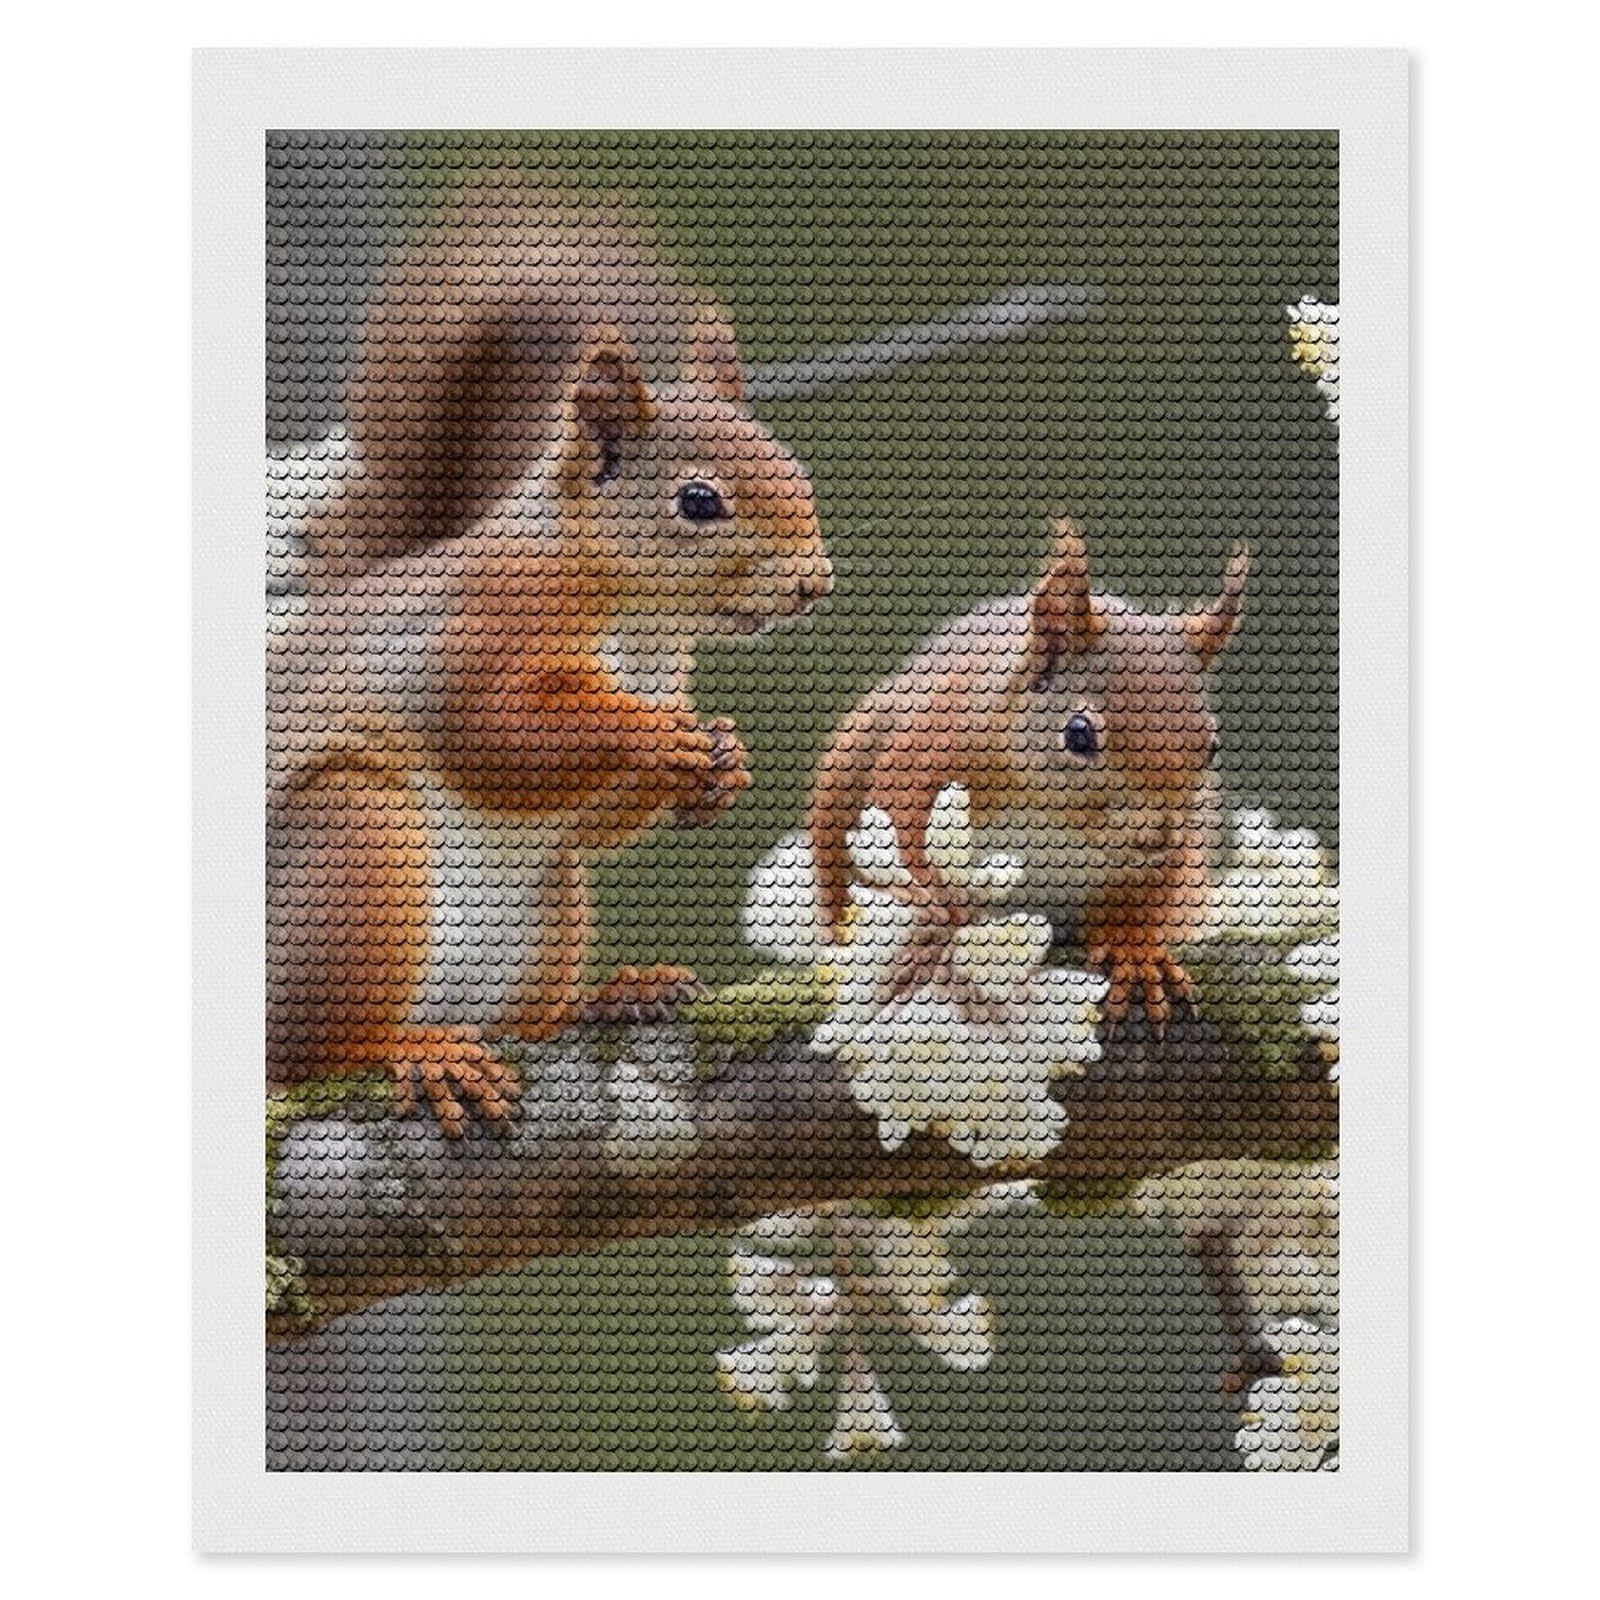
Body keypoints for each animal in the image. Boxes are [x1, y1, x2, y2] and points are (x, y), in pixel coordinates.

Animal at [269, 182, 833, 1135]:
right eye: (699, 500)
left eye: (794, 468)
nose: (815, 583)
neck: (640, 621)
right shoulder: (476, 633)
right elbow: (494, 736)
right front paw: (653, 737)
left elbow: (591, 817)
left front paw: (721, 761)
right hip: (353, 851)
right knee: (308, 1058)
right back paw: (410, 1052)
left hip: (551, 907)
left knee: (532, 1007)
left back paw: (613, 997)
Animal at [808, 516, 1248, 1027]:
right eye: (1078, 735)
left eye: (1212, 747)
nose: (1157, 834)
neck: (1058, 815)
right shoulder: (928, 748)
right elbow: (908, 841)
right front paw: (943, 916)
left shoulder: (1171, 856)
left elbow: (1145, 902)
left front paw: (1136, 952)